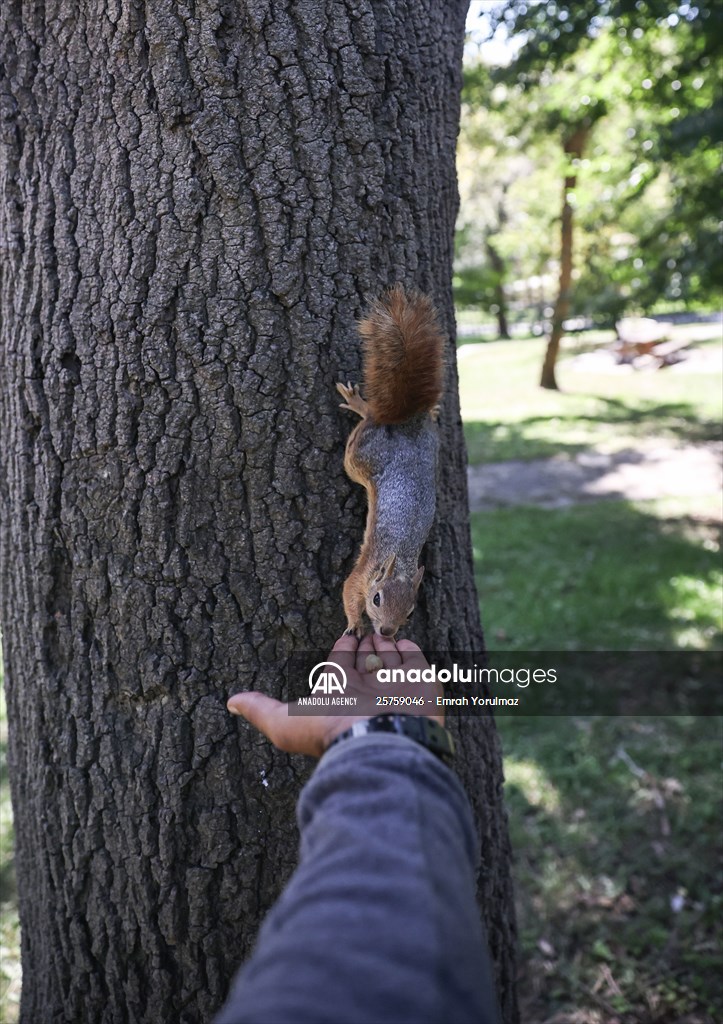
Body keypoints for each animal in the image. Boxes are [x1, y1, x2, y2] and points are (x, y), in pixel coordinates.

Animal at [336, 284, 445, 638]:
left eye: (410, 612)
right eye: (377, 599)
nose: (386, 632)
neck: (400, 565)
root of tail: (407, 421)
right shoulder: (361, 575)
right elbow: (347, 591)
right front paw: (355, 624)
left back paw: (432, 412)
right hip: (359, 457)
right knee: (369, 420)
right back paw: (361, 405)